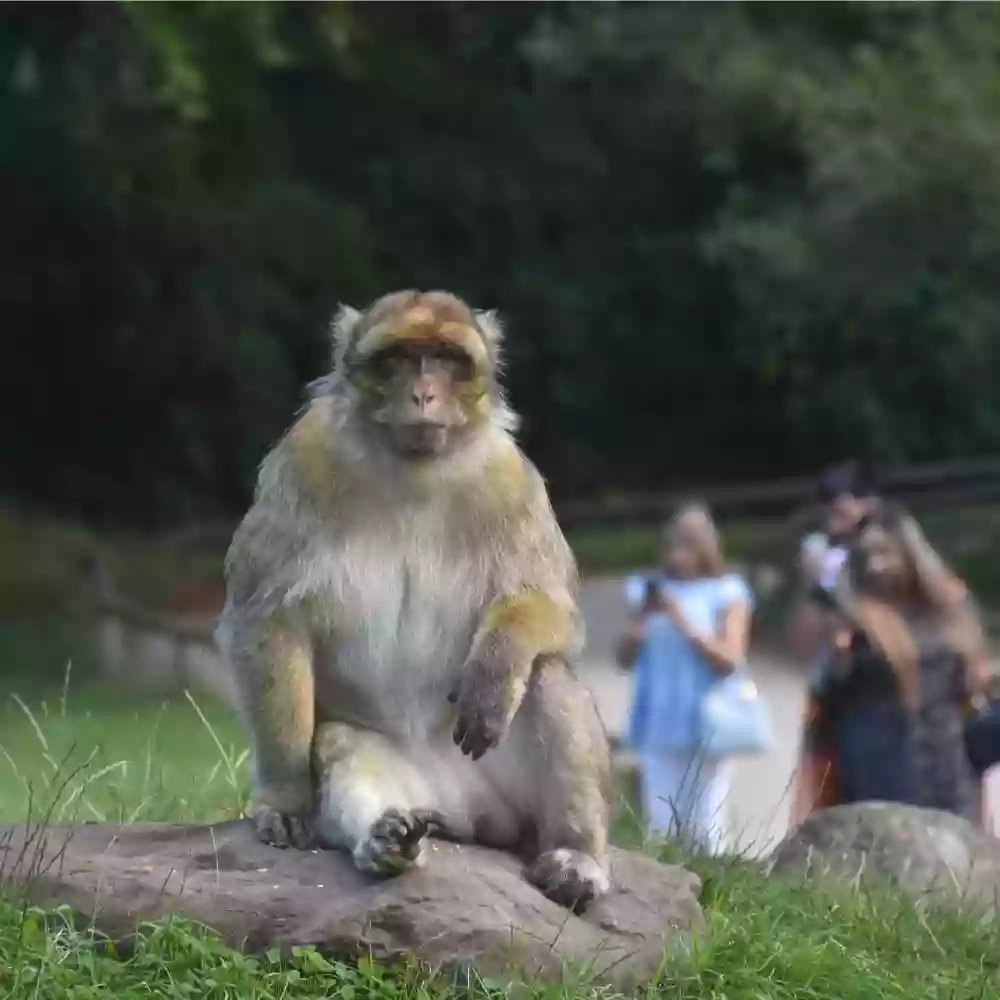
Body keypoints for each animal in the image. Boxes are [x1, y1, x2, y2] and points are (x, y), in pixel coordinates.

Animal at [215, 288, 612, 908]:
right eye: (398, 359)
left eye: (447, 359)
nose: (424, 395)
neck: (412, 468)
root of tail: (470, 814)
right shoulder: (303, 460)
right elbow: (266, 619)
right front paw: (283, 798)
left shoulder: (512, 477)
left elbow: (557, 609)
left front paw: (495, 667)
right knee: (341, 743)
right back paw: (386, 840)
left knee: (549, 676)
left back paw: (576, 857)